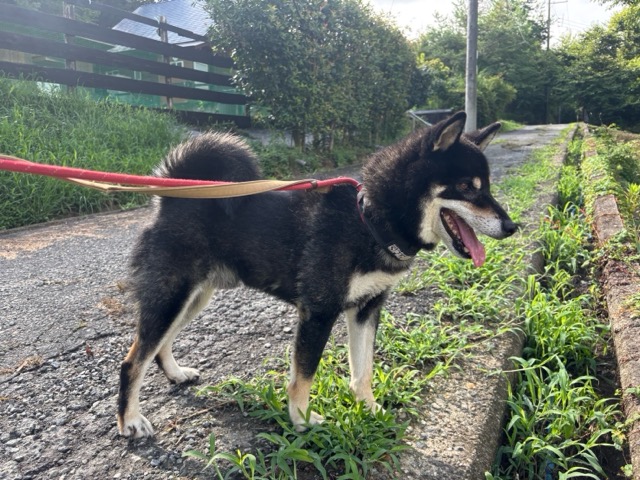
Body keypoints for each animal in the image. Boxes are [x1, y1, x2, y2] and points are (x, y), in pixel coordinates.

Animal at [117, 111, 517, 438]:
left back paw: (175, 373)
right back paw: (130, 421)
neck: (370, 220)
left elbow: (363, 370)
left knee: (158, 345)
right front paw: (302, 419)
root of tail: (169, 198)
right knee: (132, 361)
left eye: (487, 187)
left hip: (193, 298)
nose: (511, 226)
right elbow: (304, 375)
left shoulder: (367, 308)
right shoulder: (319, 312)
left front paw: (370, 408)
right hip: (172, 296)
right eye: (466, 187)